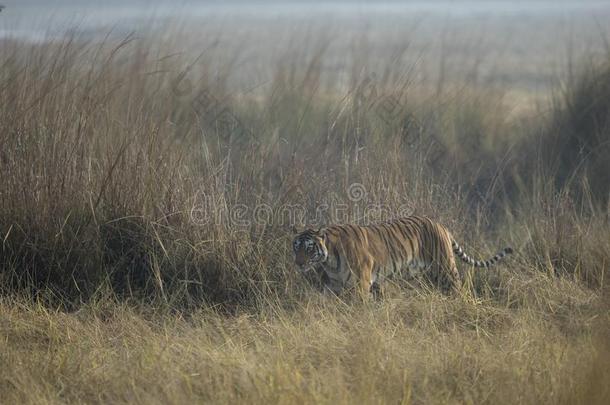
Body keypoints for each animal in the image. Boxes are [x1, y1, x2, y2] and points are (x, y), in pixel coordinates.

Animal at [292, 215, 510, 296]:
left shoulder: (362, 284)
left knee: (458, 287)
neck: (329, 260)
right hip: (426, 274)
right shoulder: (333, 287)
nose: (298, 264)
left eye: (309, 248)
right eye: (296, 247)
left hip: (446, 268)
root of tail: (440, 225)